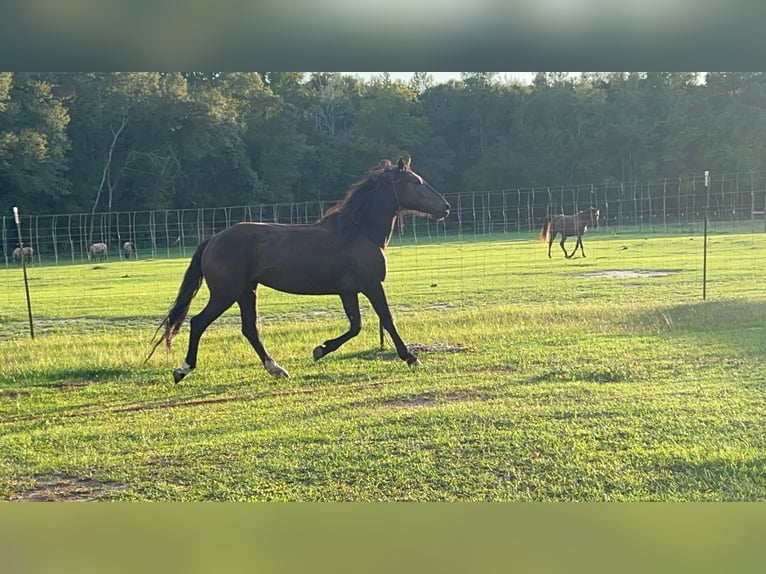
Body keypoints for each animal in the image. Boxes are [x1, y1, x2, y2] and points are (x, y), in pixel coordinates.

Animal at [146, 157, 450, 383]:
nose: (445, 207)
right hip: (226, 293)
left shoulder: (348, 291)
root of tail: (213, 240)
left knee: (250, 329)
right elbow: (387, 320)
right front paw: (411, 358)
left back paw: (277, 368)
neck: (358, 233)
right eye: (416, 182)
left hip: (247, 292)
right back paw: (182, 370)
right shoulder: (371, 285)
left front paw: (320, 349)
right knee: (199, 322)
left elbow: (356, 326)